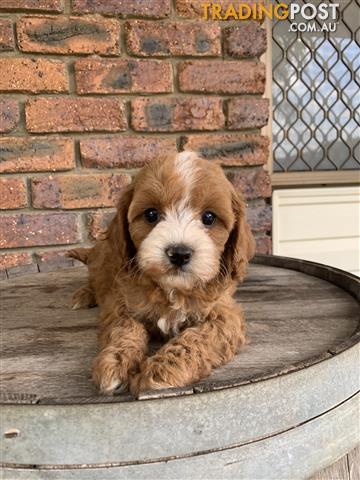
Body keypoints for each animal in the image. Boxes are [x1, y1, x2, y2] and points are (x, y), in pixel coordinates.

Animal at [67, 152, 253, 396]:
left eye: (209, 218)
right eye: (151, 214)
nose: (179, 253)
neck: (171, 288)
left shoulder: (225, 315)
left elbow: (198, 338)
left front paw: (160, 370)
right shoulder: (121, 302)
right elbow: (124, 328)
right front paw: (114, 363)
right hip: (101, 263)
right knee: (94, 280)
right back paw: (83, 295)